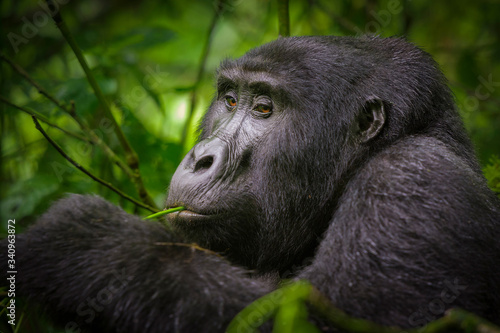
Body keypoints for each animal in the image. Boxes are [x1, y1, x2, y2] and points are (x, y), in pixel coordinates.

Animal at [0, 35, 500, 330]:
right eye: (229, 99)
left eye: (264, 109)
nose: (201, 158)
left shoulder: (412, 181)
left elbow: (306, 318)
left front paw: (87, 244)